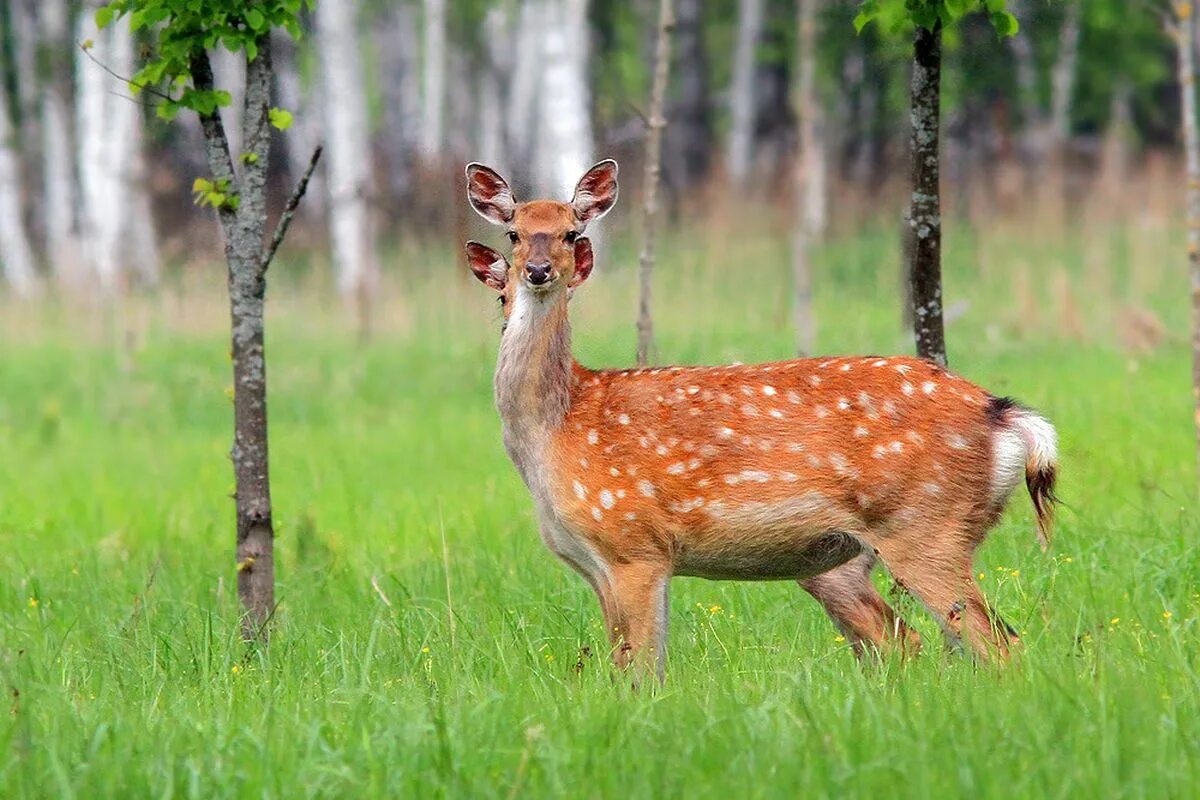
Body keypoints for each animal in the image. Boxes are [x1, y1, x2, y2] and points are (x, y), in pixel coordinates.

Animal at [460, 159, 1060, 681]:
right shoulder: (593, 563)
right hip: (857, 556)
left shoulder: (636, 545)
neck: (558, 430)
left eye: (570, 231)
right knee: (918, 641)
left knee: (997, 644)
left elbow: (645, 672)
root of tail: (1008, 418)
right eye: (514, 233)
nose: (538, 272)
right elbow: (623, 667)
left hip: (925, 525)